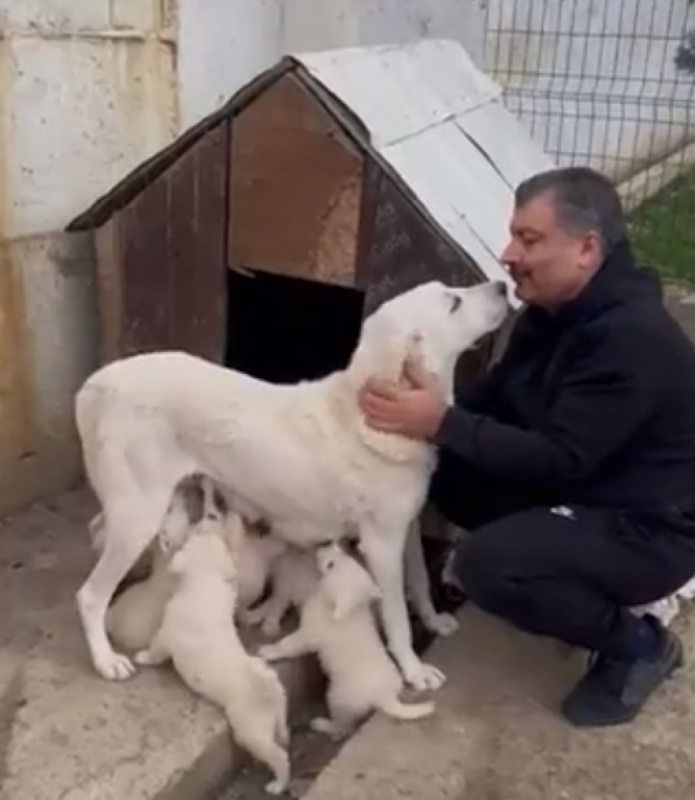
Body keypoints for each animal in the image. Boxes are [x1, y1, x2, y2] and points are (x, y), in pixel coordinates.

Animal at [76, 276, 508, 688]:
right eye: (454, 302)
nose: (504, 286)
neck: (365, 414)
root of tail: (99, 382)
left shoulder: (408, 528)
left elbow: (418, 582)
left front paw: (433, 623)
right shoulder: (382, 545)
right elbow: (397, 618)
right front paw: (413, 671)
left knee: (97, 531)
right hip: (139, 513)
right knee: (90, 595)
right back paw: (105, 659)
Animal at [135, 506, 290, 792]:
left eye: (198, 531)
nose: (206, 517)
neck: (205, 583)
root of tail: (270, 692)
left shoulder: (165, 636)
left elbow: (155, 651)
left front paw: (143, 657)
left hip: (250, 731)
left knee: (278, 756)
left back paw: (277, 784)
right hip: (277, 714)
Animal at [260, 540, 436, 740]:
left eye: (330, 565)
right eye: (343, 555)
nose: (328, 543)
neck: (353, 610)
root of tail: (384, 696)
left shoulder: (310, 633)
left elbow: (289, 644)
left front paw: (270, 651)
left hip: (337, 697)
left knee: (344, 726)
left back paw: (324, 725)